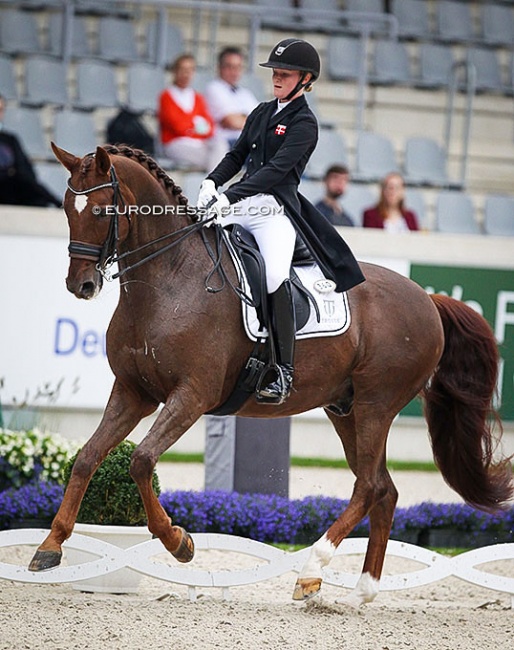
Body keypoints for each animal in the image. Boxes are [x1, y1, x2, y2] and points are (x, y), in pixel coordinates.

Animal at [30, 144, 510, 604]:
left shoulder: (192, 395)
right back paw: (362, 591)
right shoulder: (133, 392)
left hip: (377, 404)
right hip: (346, 410)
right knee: (384, 489)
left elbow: (141, 460)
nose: (81, 285)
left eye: (100, 211)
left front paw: (178, 542)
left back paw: (312, 570)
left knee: (369, 485)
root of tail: (429, 299)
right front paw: (50, 547)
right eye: (67, 209)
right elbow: (88, 457)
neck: (170, 279)